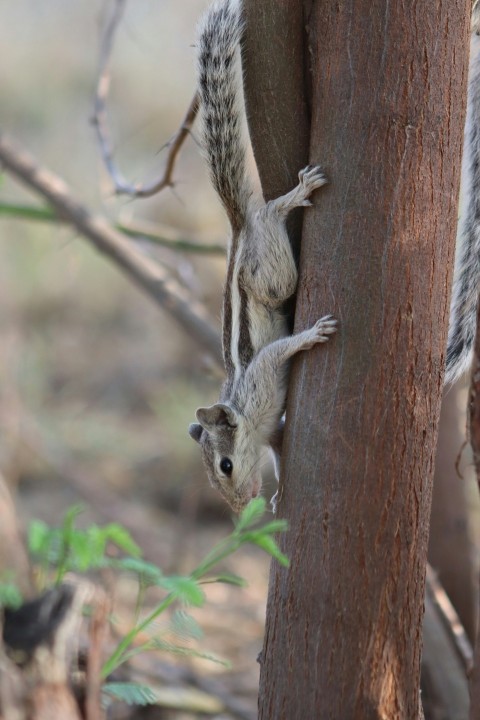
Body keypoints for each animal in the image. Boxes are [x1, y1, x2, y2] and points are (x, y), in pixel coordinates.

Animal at [190, 0, 480, 512]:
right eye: (215, 476)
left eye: (225, 465)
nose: (242, 504)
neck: (244, 409)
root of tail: (239, 225)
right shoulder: (272, 430)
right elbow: (281, 451)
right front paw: (279, 495)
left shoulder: (262, 376)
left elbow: (281, 350)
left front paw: (311, 335)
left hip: (269, 271)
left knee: (272, 215)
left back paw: (295, 194)